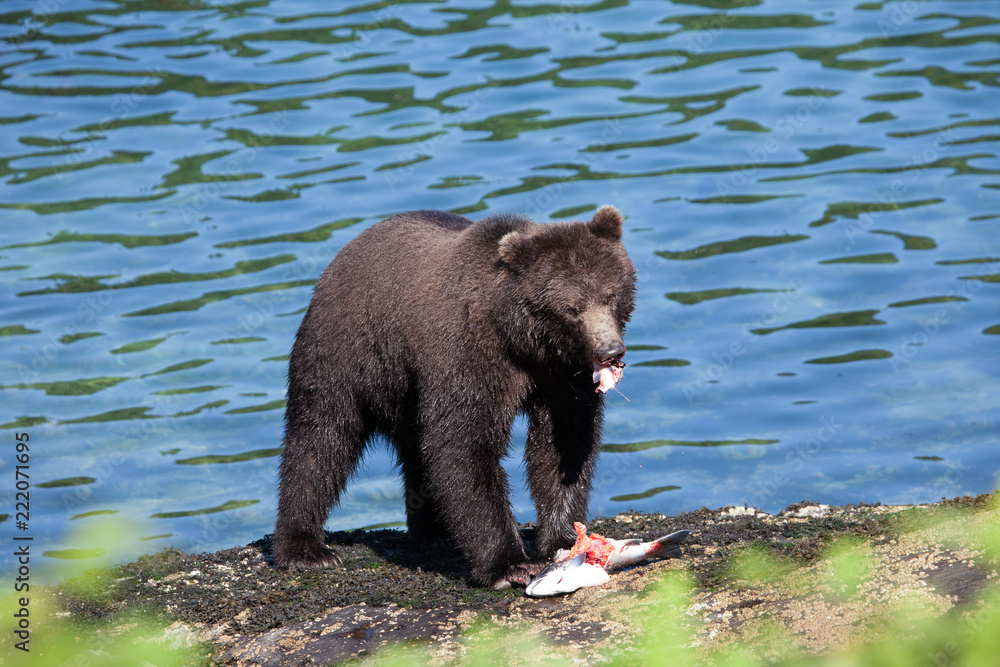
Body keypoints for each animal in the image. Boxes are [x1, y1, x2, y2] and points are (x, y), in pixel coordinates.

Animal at [273, 206, 636, 588]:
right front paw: (510, 564)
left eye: (611, 295)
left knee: (414, 451)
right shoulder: (467, 355)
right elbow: (463, 445)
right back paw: (305, 548)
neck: (521, 342)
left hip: (407, 391)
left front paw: (564, 538)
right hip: (347, 352)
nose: (610, 351)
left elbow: (563, 443)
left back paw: (433, 530)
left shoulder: (561, 377)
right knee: (320, 438)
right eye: (571, 308)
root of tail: (340, 258)